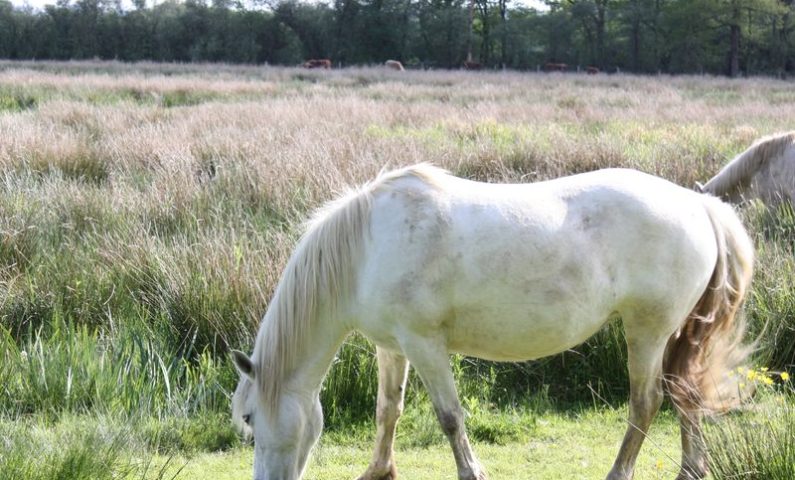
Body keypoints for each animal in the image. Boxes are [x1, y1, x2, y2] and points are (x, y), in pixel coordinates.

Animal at [230, 165, 752, 480]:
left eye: (251, 417)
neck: (366, 247)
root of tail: (699, 205)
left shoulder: (424, 344)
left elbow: (449, 417)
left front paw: (471, 472)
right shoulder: (393, 346)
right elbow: (387, 410)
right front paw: (377, 470)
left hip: (648, 331)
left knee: (646, 403)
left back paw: (618, 473)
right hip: (674, 334)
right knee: (683, 395)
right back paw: (690, 469)